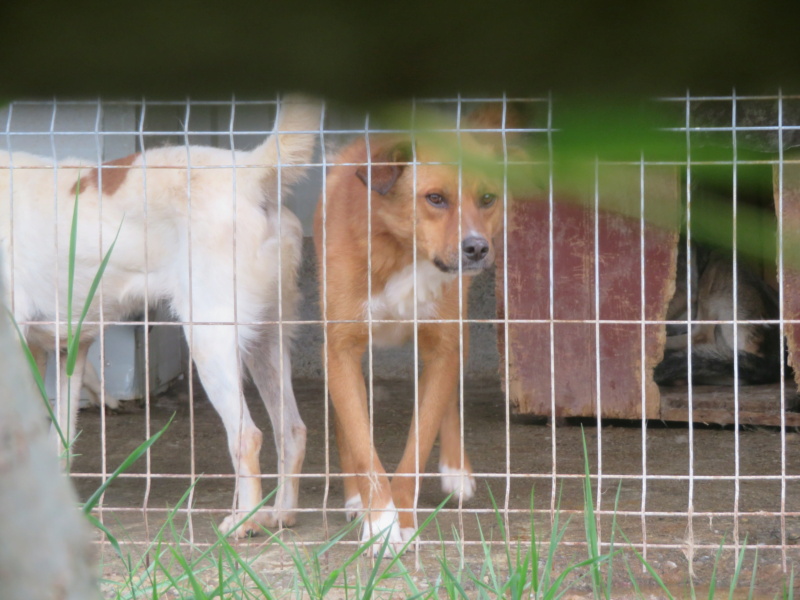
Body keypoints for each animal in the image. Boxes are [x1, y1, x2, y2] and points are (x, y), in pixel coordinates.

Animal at [0, 95, 318, 540]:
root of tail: (247, 170)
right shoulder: (66, 349)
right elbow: (55, 441)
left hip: (209, 339)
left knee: (247, 435)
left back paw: (245, 523)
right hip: (267, 342)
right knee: (291, 430)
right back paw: (281, 514)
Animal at [312, 104, 512, 552]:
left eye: (487, 198)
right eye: (435, 198)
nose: (477, 248)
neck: (403, 252)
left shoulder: (442, 345)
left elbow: (418, 444)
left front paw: (400, 519)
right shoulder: (340, 348)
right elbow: (360, 441)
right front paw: (379, 521)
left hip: (460, 332)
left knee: (449, 399)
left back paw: (457, 470)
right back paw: (354, 499)